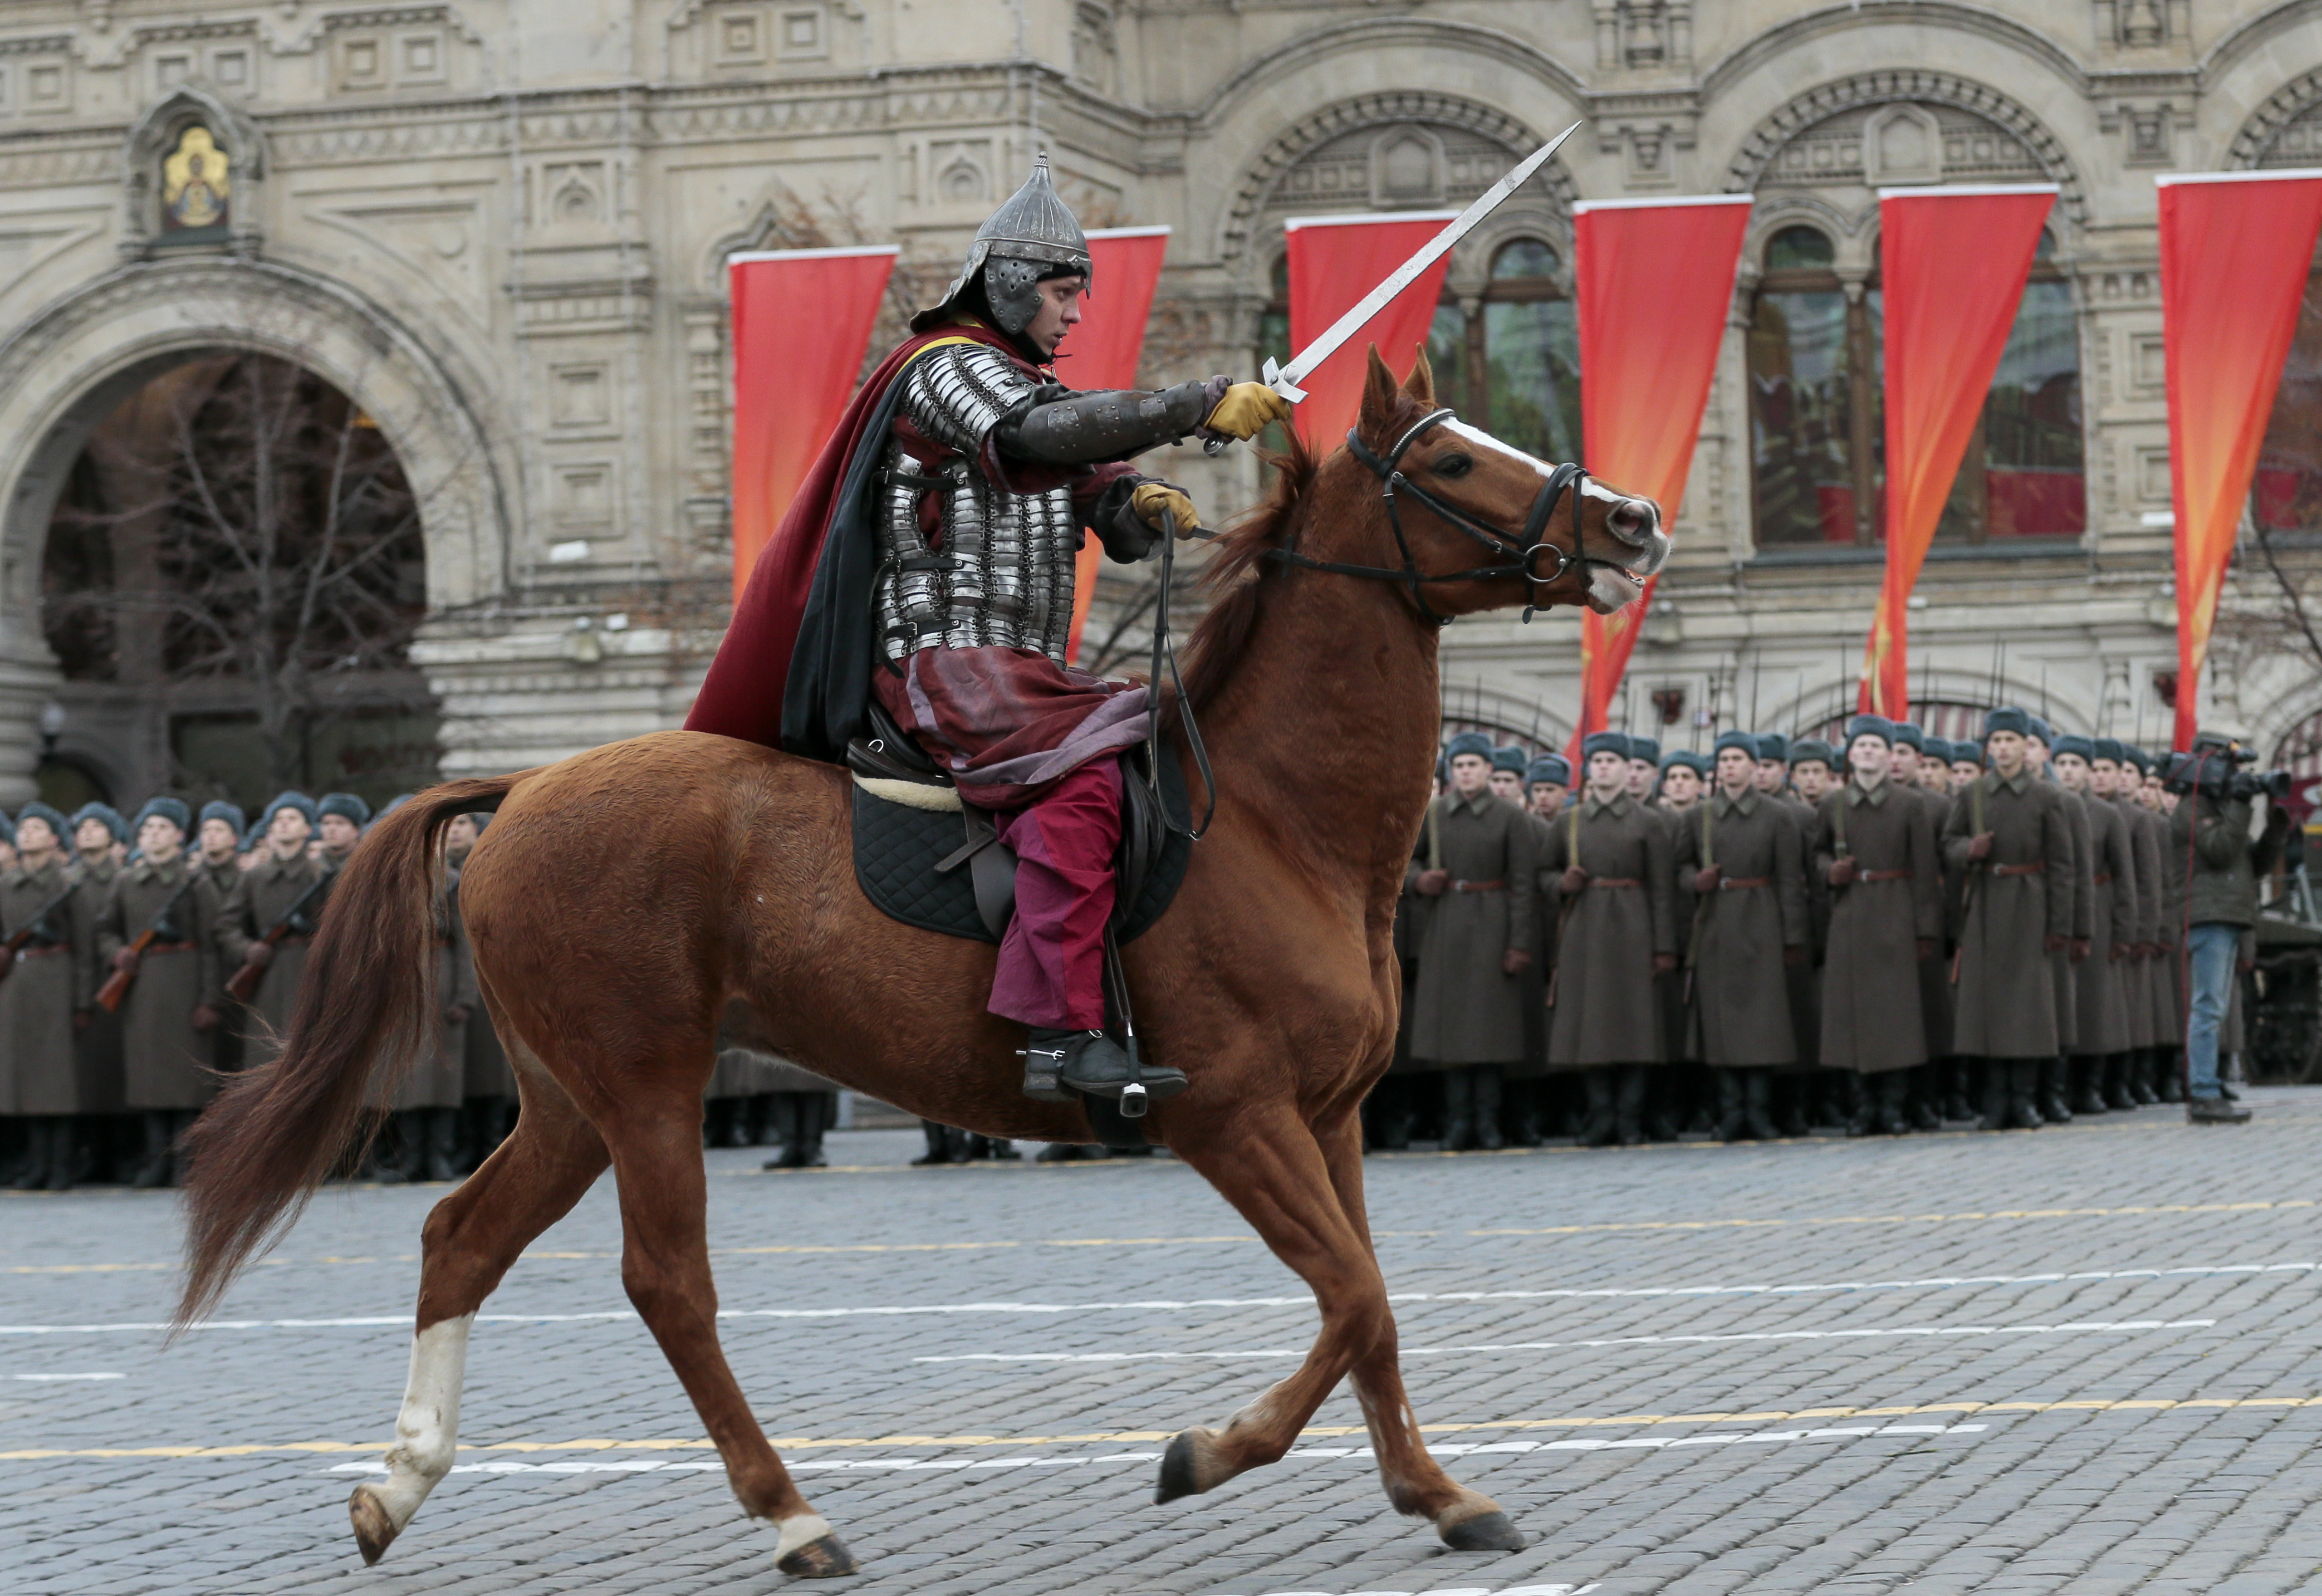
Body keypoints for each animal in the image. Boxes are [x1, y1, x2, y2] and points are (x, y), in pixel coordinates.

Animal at [181, 348, 1672, 1570]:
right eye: (1449, 460)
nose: (1634, 520)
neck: (1267, 814)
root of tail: (526, 785)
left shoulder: (1331, 1118)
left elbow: (1369, 1308)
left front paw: (1436, 1491)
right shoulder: (1231, 1116)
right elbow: (1354, 1296)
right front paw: (1210, 1451)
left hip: (568, 1102)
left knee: (460, 1237)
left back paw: (398, 1483)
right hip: (645, 1087)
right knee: (666, 1283)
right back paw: (791, 1513)